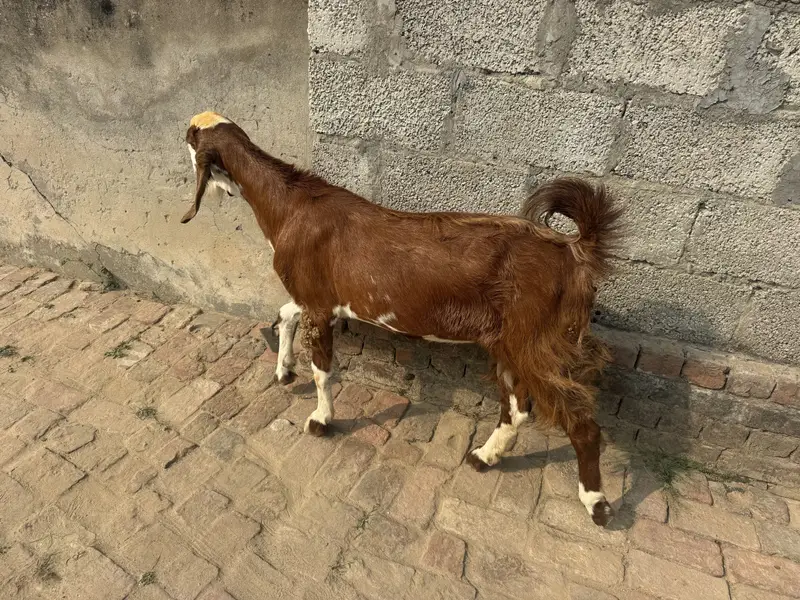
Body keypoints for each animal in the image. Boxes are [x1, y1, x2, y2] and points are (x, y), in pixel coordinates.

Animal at [181, 111, 623, 526]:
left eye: (190, 137)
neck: (290, 206)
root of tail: (576, 252)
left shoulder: (319, 304)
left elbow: (322, 371)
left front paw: (321, 420)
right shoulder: (316, 300)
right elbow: (285, 313)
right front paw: (284, 371)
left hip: (539, 342)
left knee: (581, 423)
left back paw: (596, 504)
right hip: (511, 343)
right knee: (517, 407)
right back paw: (483, 457)